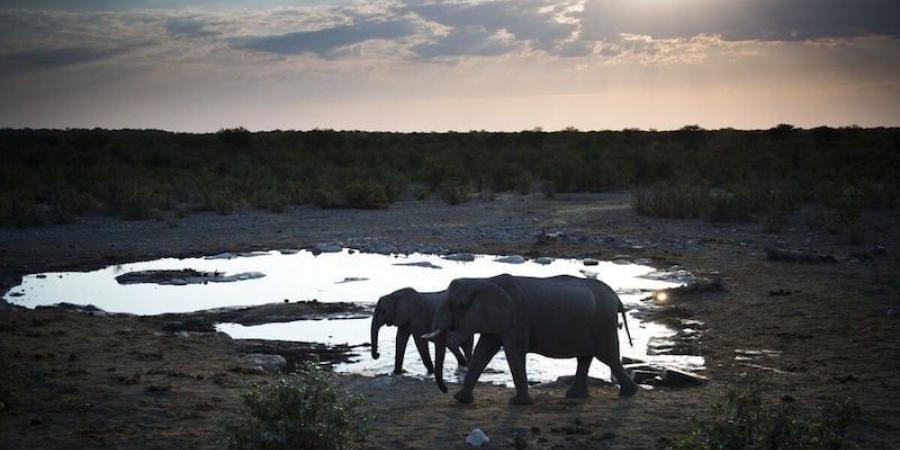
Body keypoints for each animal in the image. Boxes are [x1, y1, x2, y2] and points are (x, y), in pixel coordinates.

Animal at [420, 272, 632, 406]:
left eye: (459, 305)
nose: (445, 391)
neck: (485, 280)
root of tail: (616, 298)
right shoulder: (498, 320)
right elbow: (483, 351)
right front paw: (461, 399)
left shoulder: (517, 318)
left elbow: (513, 352)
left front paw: (518, 403)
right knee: (586, 357)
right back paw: (575, 396)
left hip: (602, 323)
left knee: (607, 356)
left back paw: (628, 393)